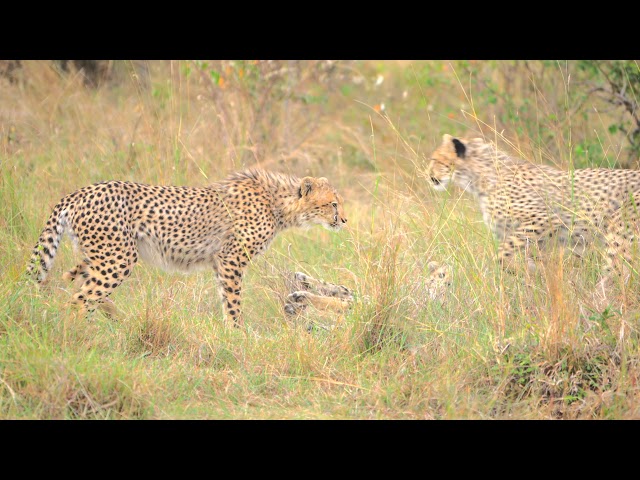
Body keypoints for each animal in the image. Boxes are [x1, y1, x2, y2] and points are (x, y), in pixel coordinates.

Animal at [27, 169, 348, 326]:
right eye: (333, 203)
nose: (343, 220)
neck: (278, 203)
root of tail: (78, 192)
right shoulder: (230, 259)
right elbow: (233, 302)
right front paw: (238, 333)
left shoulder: (221, 261)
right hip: (118, 258)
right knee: (79, 299)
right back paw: (82, 332)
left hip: (104, 254)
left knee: (74, 280)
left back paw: (115, 317)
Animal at [424, 135, 640, 292]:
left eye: (436, 160)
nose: (428, 175)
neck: (481, 177)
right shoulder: (536, 240)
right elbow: (534, 262)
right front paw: (539, 280)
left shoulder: (544, 219)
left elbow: (501, 256)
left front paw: (521, 271)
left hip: (619, 234)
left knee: (617, 272)